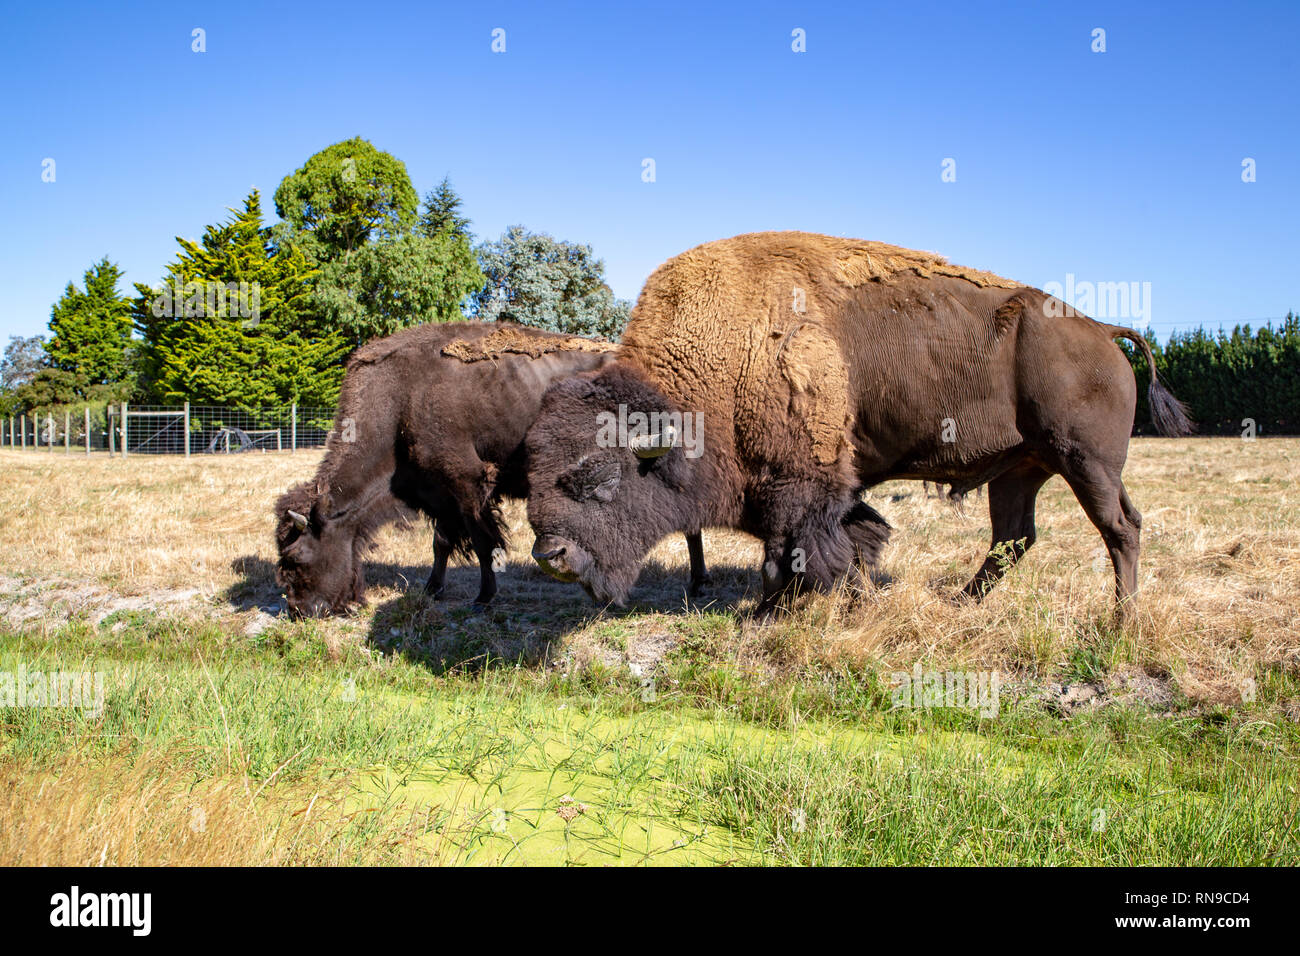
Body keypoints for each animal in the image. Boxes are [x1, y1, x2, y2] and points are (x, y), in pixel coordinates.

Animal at [267, 321, 707, 621]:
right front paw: (433, 590)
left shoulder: (466, 484)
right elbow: (442, 543)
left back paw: (698, 583)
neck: (401, 400)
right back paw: (696, 583)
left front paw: (483, 598)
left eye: (295, 558)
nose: (299, 611)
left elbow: (482, 542)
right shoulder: (439, 494)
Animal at [522, 231, 1190, 621]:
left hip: (1085, 462)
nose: (550, 554)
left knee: (1120, 528)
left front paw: (775, 611)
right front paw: (846, 598)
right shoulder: (816, 488)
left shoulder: (798, 484)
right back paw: (959, 606)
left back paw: (1122, 623)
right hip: (1020, 470)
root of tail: (1104, 331)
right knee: (1013, 538)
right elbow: (850, 537)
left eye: (600, 479)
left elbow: (796, 550)